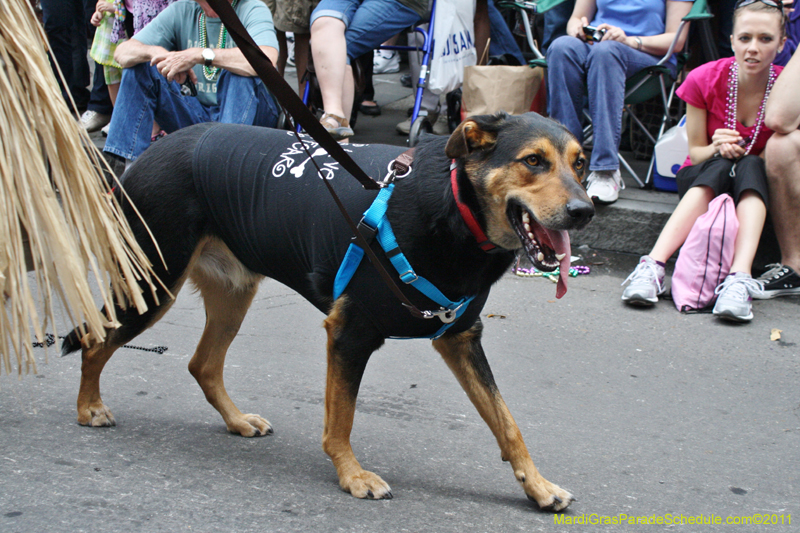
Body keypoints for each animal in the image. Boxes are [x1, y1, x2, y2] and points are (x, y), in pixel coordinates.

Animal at [64, 112, 592, 512]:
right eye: (533, 161)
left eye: (580, 163)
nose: (585, 211)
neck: (454, 210)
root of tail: (148, 152)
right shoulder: (349, 333)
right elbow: (342, 419)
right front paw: (352, 475)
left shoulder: (459, 337)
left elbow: (507, 423)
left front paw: (538, 487)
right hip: (152, 283)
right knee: (96, 338)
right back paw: (88, 408)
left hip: (233, 293)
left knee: (203, 364)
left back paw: (236, 421)